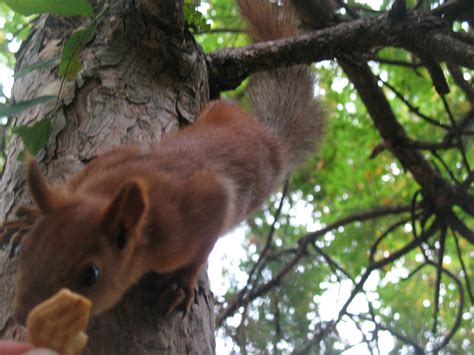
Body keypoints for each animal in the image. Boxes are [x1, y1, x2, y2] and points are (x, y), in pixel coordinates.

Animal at [0, 0, 324, 324]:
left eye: (91, 274)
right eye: (28, 249)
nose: (21, 317)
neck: (108, 193)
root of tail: (268, 136)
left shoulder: (197, 210)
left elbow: (204, 244)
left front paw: (182, 282)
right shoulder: (112, 160)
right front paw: (28, 219)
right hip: (218, 112)